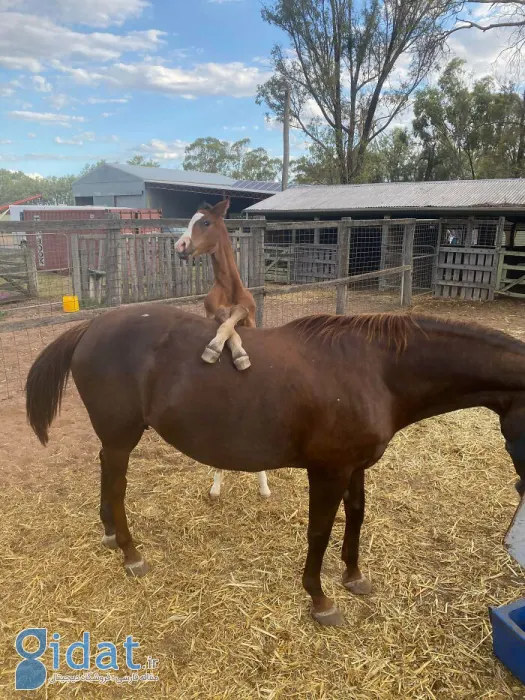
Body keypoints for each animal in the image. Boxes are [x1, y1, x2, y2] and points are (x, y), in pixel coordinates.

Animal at [24, 308, 524, 628]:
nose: (522, 489)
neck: (374, 370)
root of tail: (92, 325)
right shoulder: (327, 472)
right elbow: (319, 531)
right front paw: (320, 599)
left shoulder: (356, 466)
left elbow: (357, 516)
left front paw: (353, 576)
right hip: (121, 435)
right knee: (117, 482)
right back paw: (130, 552)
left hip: (114, 438)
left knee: (106, 474)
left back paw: (110, 533)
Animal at [174, 200, 270, 500]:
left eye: (205, 223)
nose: (180, 245)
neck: (229, 289)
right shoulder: (211, 314)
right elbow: (225, 321)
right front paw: (217, 350)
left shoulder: (249, 317)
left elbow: (236, 315)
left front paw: (237, 355)